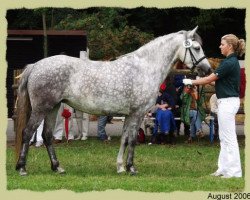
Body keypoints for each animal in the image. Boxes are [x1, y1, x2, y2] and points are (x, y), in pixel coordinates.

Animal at [15, 26, 211, 175]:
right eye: (196, 48)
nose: (208, 70)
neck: (144, 68)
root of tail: (36, 65)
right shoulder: (138, 114)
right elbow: (132, 140)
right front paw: (131, 168)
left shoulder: (129, 115)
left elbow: (124, 139)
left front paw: (120, 167)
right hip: (41, 108)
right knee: (28, 132)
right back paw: (22, 168)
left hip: (53, 108)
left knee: (47, 135)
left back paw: (57, 167)